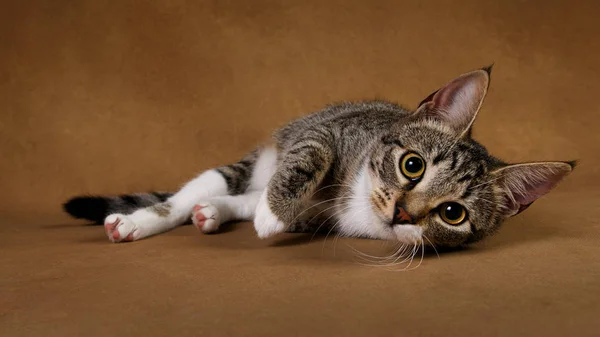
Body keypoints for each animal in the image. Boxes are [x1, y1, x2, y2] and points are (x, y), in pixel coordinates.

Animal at [63, 65, 576, 248]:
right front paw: (273, 213)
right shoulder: (327, 132)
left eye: (453, 213)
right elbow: (311, 155)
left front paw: (267, 215)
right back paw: (141, 221)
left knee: (233, 197)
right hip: (252, 161)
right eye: (412, 165)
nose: (402, 212)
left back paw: (214, 212)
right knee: (196, 190)